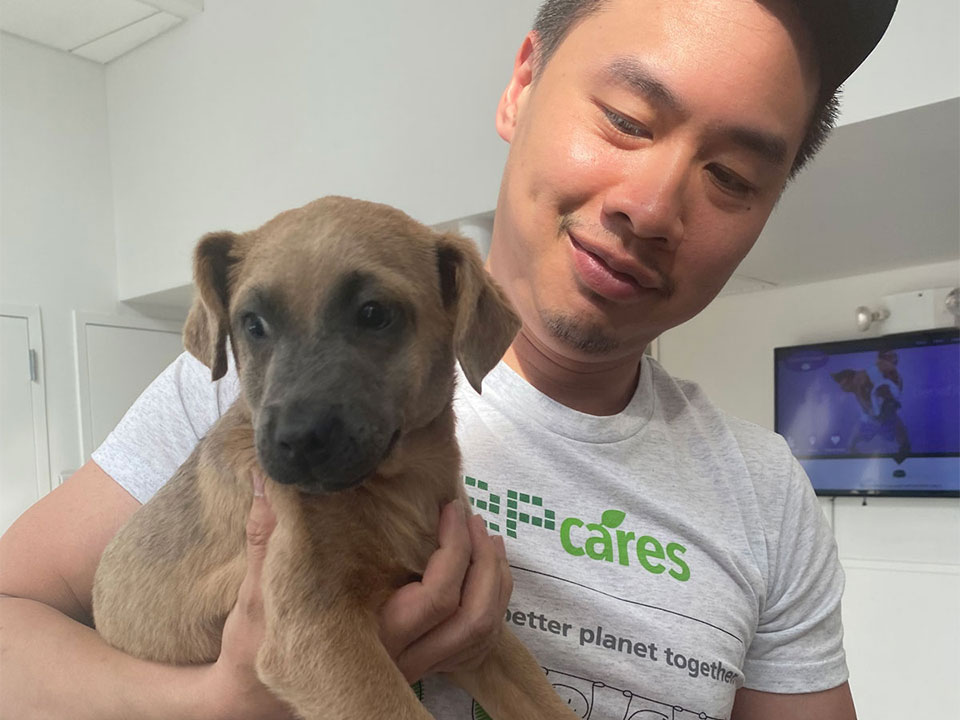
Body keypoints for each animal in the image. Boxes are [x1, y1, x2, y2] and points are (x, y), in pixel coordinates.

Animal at [94, 195, 580, 720]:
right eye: (252, 324)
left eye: (373, 313)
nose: (295, 440)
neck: (397, 486)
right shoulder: (315, 631)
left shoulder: (476, 639)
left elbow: (547, 702)